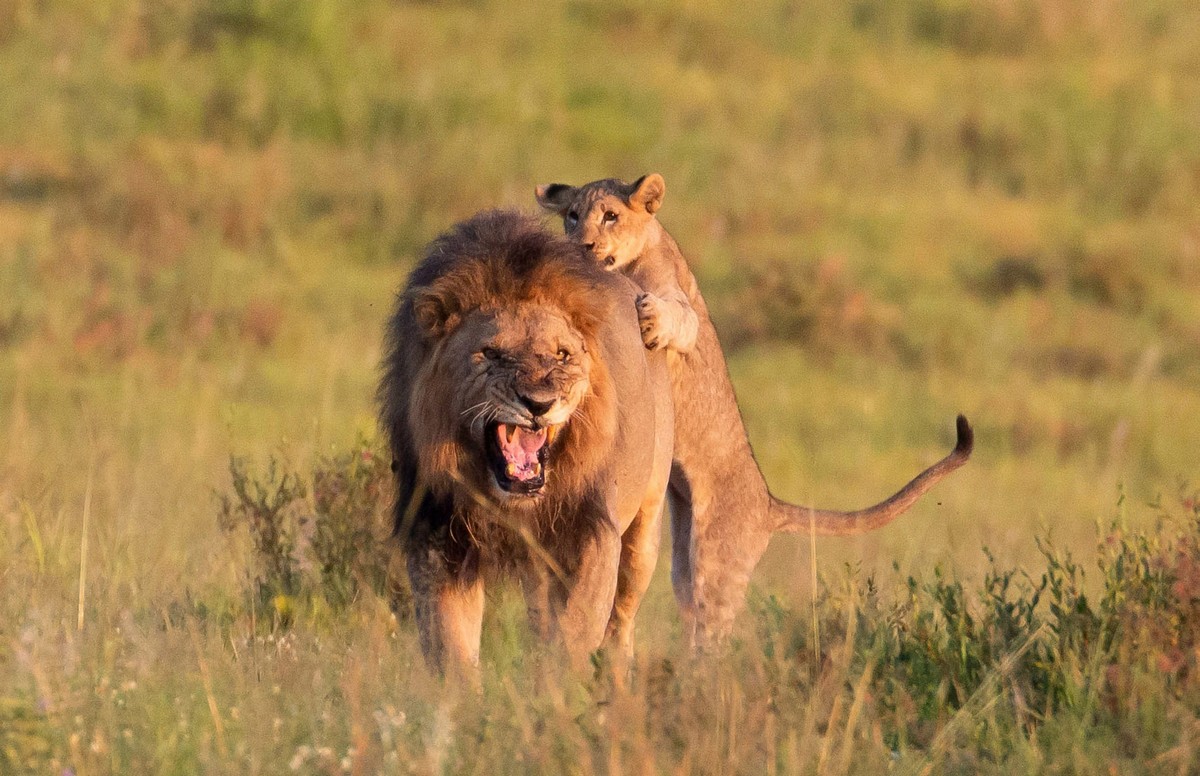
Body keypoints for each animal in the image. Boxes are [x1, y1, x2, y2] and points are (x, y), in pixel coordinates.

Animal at [376, 211, 672, 671]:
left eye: (562, 355)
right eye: (491, 354)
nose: (539, 403)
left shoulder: (588, 531)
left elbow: (574, 633)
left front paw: (559, 687)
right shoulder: (436, 533)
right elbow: (450, 647)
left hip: (643, 529)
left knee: (620, 627)